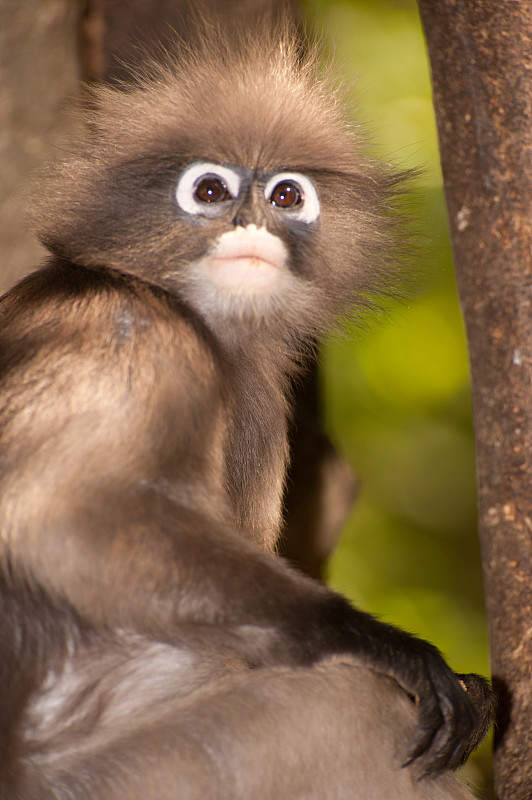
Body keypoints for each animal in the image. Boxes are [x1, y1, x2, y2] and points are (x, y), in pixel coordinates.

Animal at [0, 14, 494, 800]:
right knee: (349, 704)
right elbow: (67, 513)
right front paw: (372, 639)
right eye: (209, 189)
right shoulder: (123, 324)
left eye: (287, 197)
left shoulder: (261, 393)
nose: (251, 224)